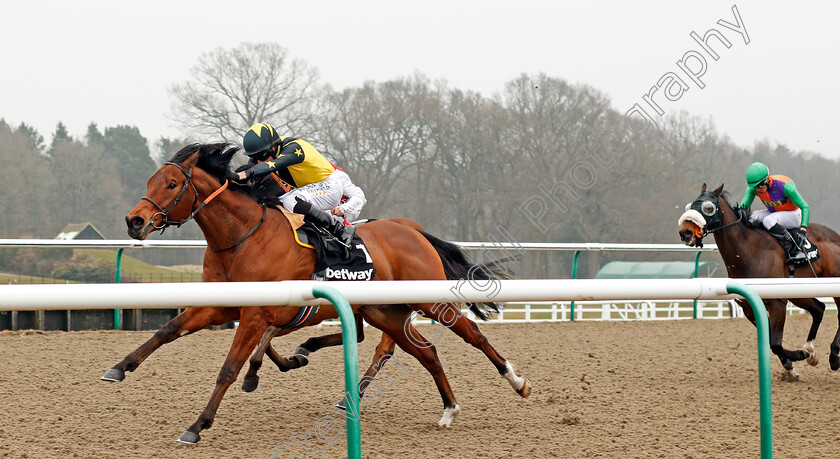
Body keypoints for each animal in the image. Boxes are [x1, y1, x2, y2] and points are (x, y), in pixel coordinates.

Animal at [101, 144, 528, 446]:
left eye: (172, 184)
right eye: (150, 183)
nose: (134, 221)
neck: (242, 236)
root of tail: (412, 229)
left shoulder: (256, 313)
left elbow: (229, 368)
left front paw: (197, 425)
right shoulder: (222, 305)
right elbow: (166, 331)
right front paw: (120, 367)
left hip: (428, 300)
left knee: (472, 335)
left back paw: (517, 381)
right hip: (385, 311)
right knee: (423, 352)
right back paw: (449, 409)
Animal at [680, 183, 840, 380]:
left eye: (708, 208)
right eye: (689, 206)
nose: (685, 232)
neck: (751, 251)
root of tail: (836, 236)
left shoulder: (777, 302)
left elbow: (776, 343)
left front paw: (800, 355)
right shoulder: (748, 306)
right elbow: (771, 340)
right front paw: (793, 365)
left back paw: (833, 356)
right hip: (799, 291)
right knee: (819, 309)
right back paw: (811, 350)